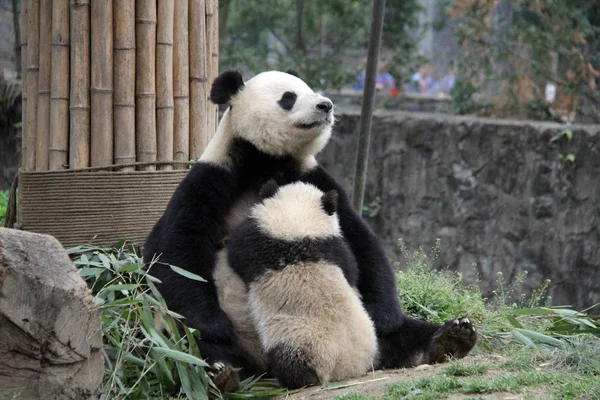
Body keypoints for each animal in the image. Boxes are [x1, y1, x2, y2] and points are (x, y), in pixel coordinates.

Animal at [227, 180, 378, 390]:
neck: (298, 226)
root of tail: (345, 367)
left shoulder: (258, 240)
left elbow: (236, 251)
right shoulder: (336, 248)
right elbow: (352, 270)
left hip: (300, 341)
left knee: (290, 362)